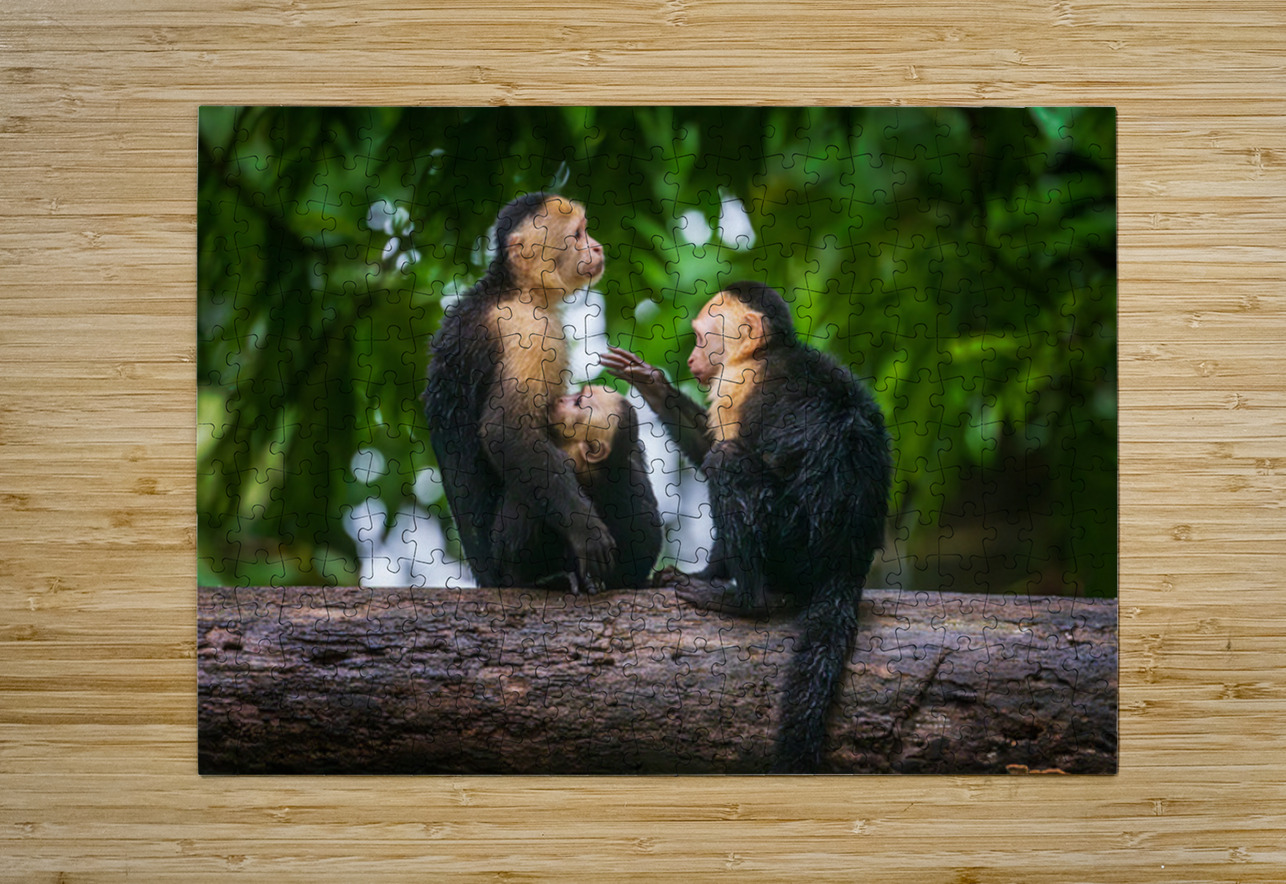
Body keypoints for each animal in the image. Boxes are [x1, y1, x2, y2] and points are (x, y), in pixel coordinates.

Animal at [423, 193, 617, 593]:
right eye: (578, 235)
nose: (597, 247)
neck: (515, 289)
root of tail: (487, 579)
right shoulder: (527, 331)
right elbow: (505, 431)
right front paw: (586, 531)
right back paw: (542, 579)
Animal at [601, 282, 892, 772]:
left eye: (702, 338)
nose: (693, 359)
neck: (767, 351)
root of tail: (847, 559)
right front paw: (651, 382)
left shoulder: (737, 384)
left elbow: (720, 451)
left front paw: (709, 576)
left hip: (795, 543)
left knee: (729, 463)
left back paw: (744, 600)